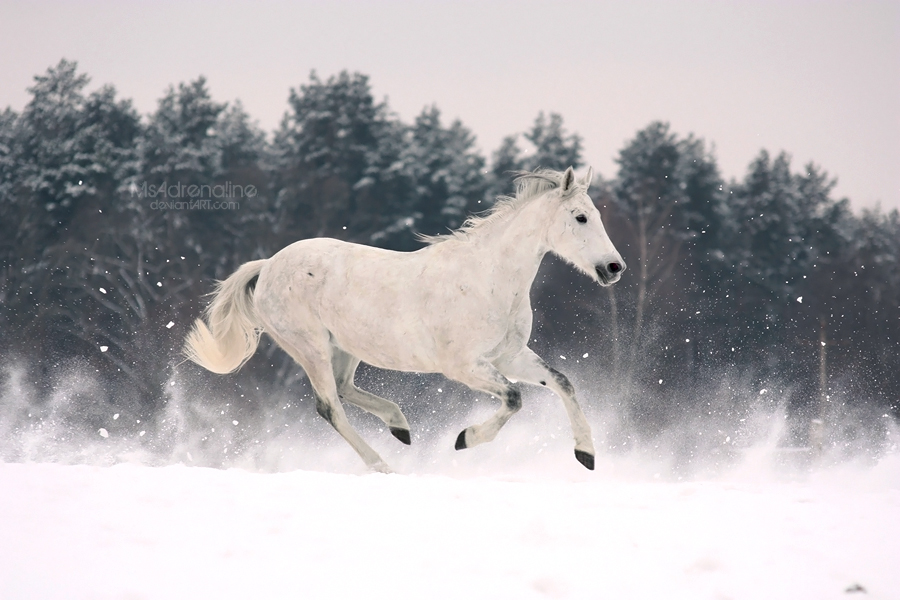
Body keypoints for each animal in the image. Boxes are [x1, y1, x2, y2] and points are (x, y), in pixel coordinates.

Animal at [185, 166, 624, 472]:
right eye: (581, 217)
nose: (614, 268)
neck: (489, 278)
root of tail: (268, 266)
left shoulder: (509, 357)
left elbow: (562, 382)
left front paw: (586, 454)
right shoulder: (463, 366)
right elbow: (515, 398)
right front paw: (465, 439)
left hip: (342, 348)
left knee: (343, 389)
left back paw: (400, 427)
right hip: (309, 347)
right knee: (330, 407)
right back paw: (384, 466)